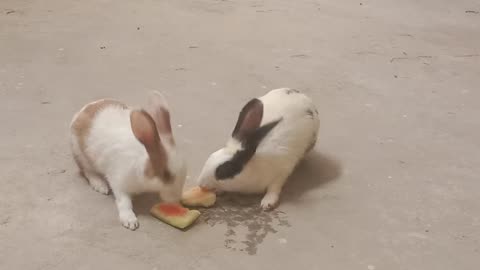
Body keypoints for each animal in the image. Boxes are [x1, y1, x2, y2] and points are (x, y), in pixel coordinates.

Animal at [69, 92, 186, 230]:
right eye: (165, 174)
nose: (176, 200)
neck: (142, 165)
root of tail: (80, 113)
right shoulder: (118, 182)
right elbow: (124, 202)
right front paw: (130, 222)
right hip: (80, 155)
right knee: (88, 172)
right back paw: (100, 186)